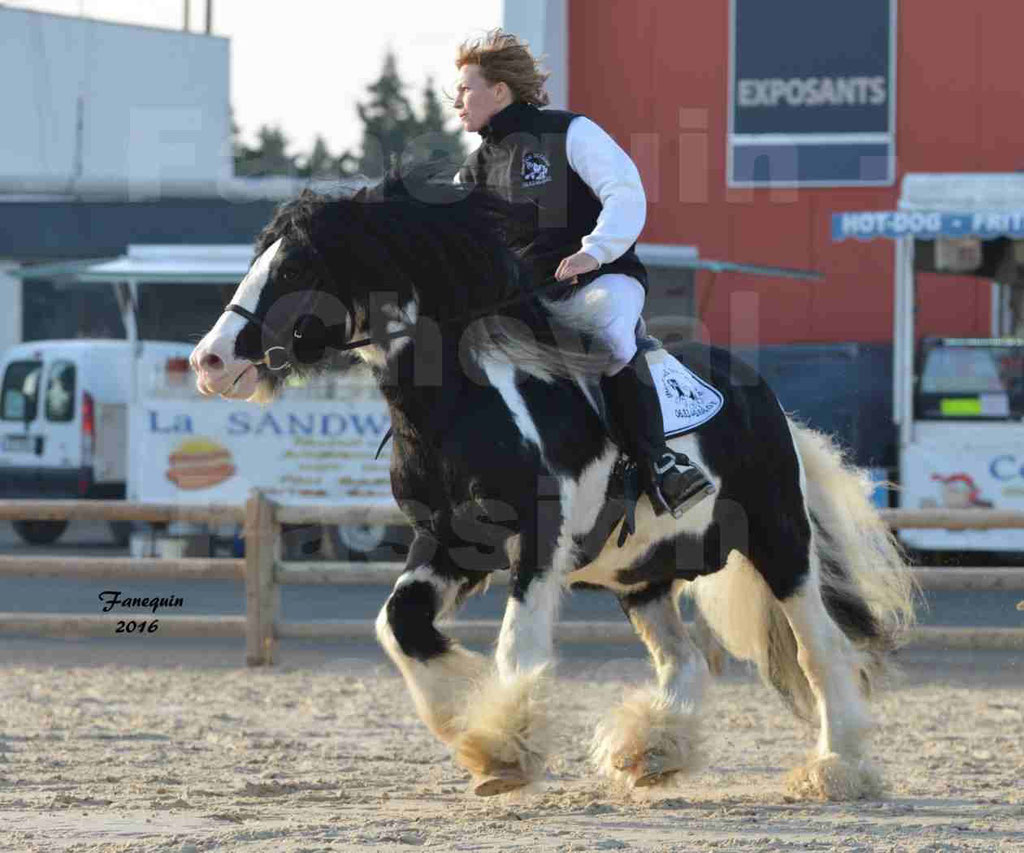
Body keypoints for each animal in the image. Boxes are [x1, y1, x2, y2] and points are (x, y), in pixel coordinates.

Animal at [190, 175, 913, 798]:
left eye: (295, 270)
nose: (208, 361)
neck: (462, 404)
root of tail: (770, 404)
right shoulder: (450, 545)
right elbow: (399, 623)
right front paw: (474, 721)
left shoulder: (540, 540)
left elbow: (518, 644)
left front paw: (504, 747)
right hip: (641, 575)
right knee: (683, 661)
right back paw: (652, 751)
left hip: (779, 541)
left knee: (821, 650)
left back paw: (836, 768)